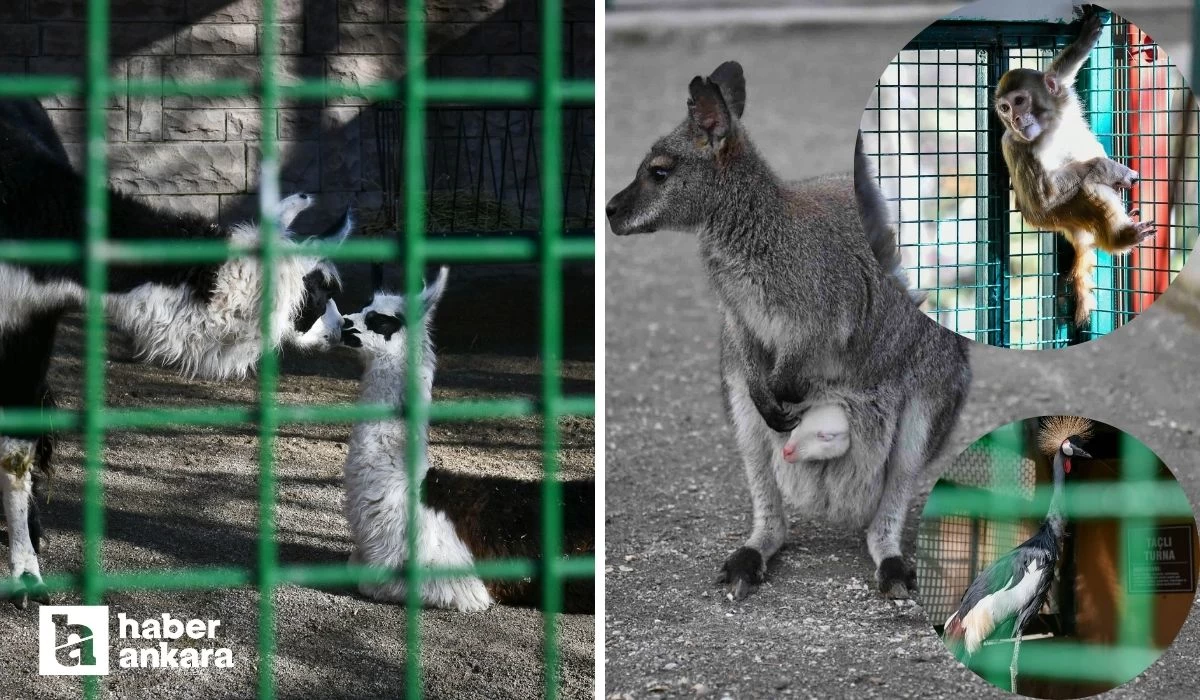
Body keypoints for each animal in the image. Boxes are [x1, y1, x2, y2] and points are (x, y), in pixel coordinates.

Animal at [993, 5, 1152, 328]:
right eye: (1004, 108)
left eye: (1019, 101)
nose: (1014, 119)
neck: (1048, 125)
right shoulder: (1017, 147)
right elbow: (1043, 196)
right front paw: (1109, 168)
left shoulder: (1062, 96)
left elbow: (1060, 74)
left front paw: (1085, 38)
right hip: (1056, 216)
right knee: (1088, 188)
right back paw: (1120, 238)